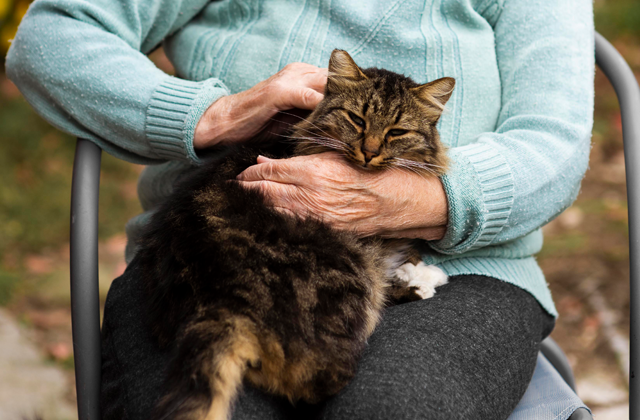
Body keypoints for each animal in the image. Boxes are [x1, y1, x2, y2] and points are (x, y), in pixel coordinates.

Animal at [139, 50, 456, 420]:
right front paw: (420, 276)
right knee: (313, 378)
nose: (370, 151)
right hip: (347, 272)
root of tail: (219, 295)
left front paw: (414, 266)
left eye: (397, 132)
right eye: (356, 119)